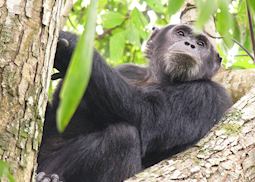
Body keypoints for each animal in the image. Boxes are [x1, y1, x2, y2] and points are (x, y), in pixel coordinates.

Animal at [36, 24, 233, 182]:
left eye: (201, 44)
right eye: (181, 33)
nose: (190, 44)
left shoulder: (207, 95)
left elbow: (148, 115)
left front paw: (72, 45)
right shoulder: (127, 69)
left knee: (124, 136)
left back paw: (49, 178)